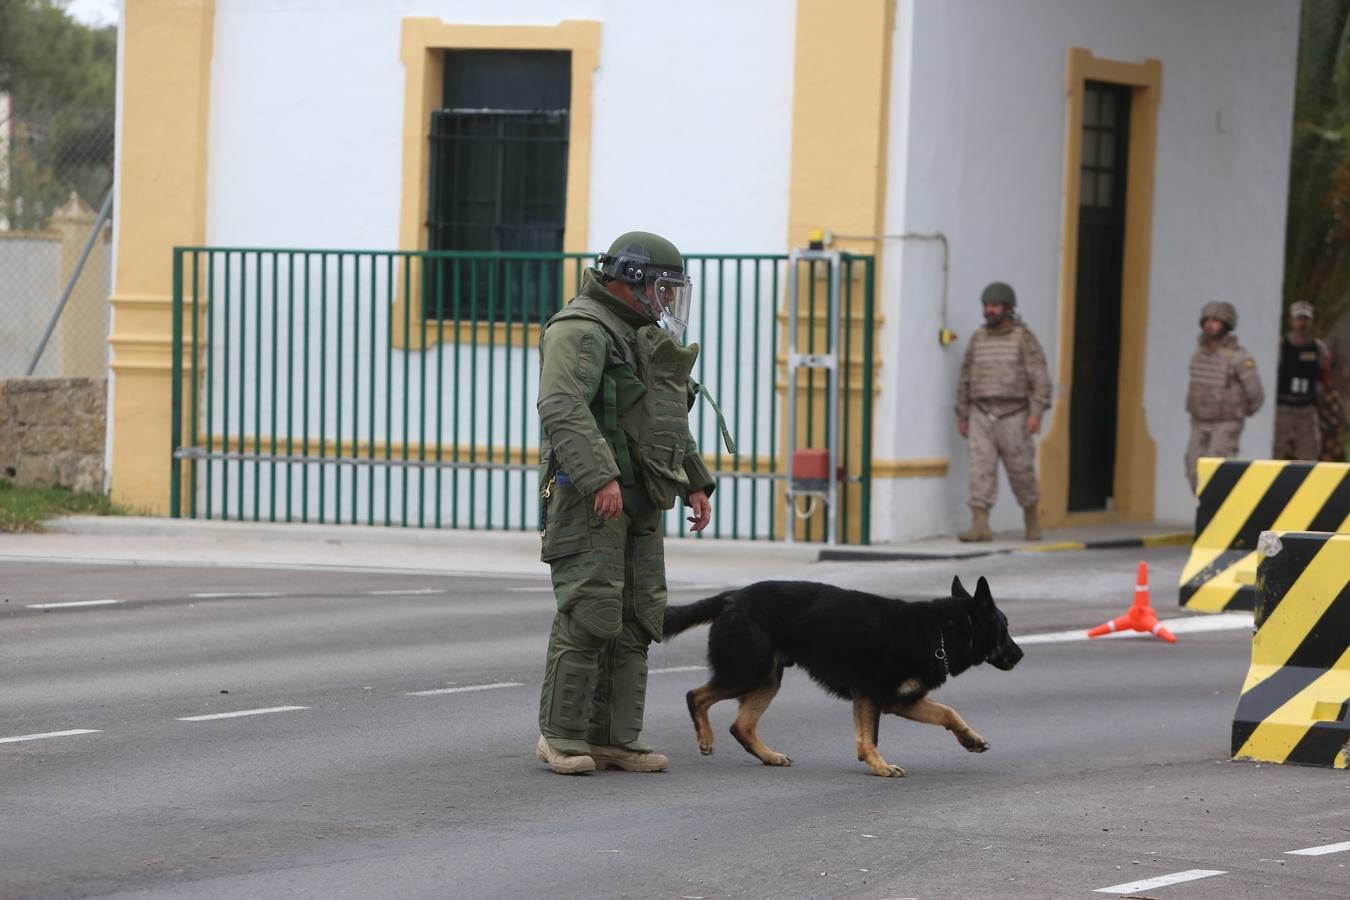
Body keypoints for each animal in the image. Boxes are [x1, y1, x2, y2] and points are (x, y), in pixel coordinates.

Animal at [661, 580, 1020, 777]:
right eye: (1005, 629)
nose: (1020, 656)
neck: (941, 631)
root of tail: (732, 596)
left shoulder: (899, 701)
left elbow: (948, 712)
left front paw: (971, 739)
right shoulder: (871, 696)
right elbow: (869, 738)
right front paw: (879, 766)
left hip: (767, 680)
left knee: (741, 726)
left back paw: (769, 756)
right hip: (747, 673)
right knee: (696, 695)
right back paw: (706, 738)